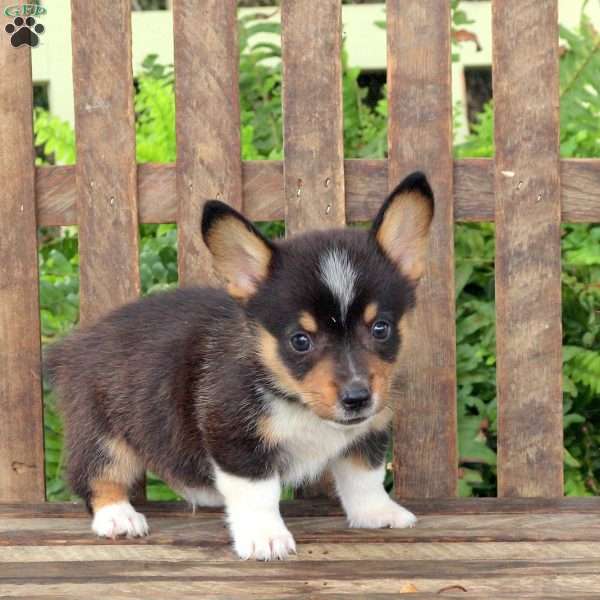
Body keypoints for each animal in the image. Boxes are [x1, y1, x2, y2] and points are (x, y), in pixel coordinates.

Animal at [44, 171, 434, 560]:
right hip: (102, 430)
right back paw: (117, 516)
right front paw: (265, 538)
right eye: (300, 340)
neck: (297, 400)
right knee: (96, 472)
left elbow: (364, 476)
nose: (357, 398)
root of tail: (72, 346)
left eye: (381, 328)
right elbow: (259, 493)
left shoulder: (368, 432)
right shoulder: (235, 437)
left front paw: (377, 513)